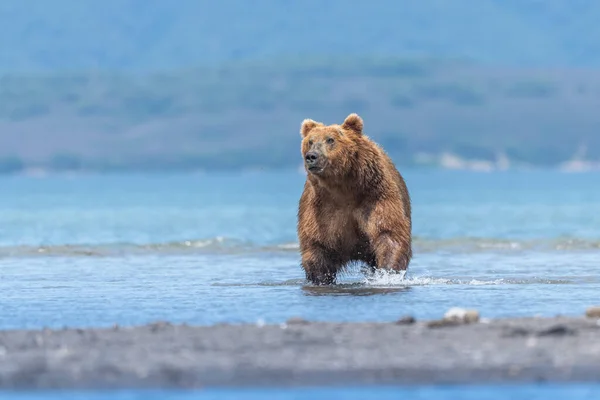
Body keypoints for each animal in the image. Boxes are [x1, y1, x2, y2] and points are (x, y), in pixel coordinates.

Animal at [296, 112, 410, 284]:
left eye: (330, 139)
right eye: (310, 141)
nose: (312, 156)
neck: (344, 188)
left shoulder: (376, 196)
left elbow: (388, 233)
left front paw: (386, 273)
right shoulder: (320, 208)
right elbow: (316, 245)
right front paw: (321, 278)